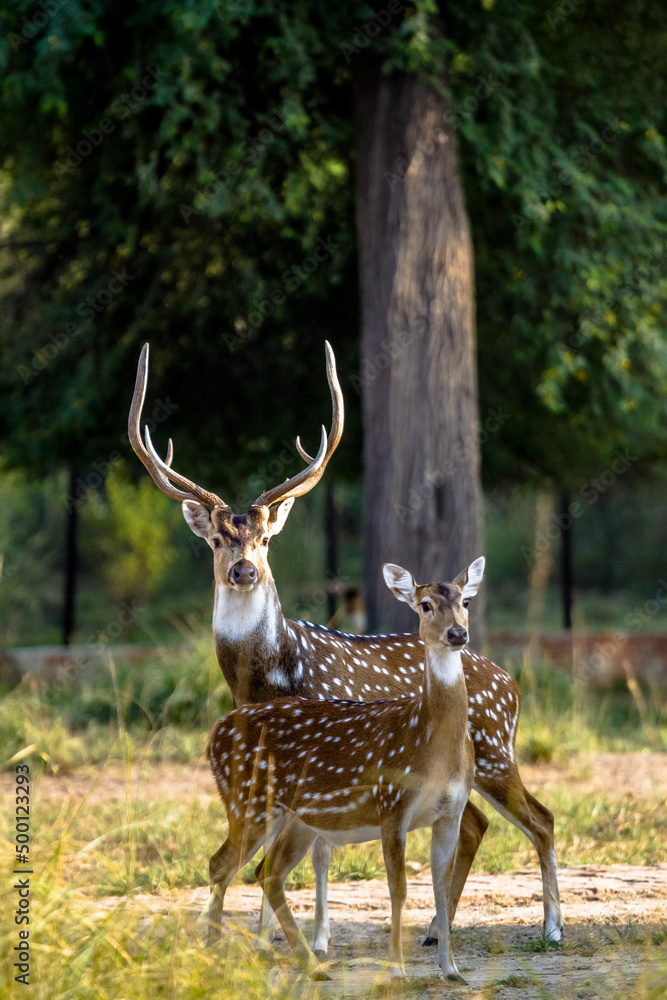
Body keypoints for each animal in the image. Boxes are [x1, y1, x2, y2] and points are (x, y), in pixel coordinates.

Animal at [206, 559, 483, 981]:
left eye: (465, 601)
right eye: (425, 605)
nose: (457, 633)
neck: (433, 745)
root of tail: (214, 735)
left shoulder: (450, 811)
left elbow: (438, 885)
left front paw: (451, 969)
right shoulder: (392, 803)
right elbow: (399, 888)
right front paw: (396, 969)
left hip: (295, 819)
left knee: (266, 872)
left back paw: (310, 964)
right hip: (247, 802)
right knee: (221, 864)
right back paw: (213, 953)